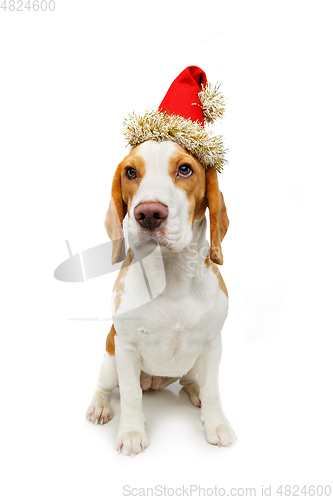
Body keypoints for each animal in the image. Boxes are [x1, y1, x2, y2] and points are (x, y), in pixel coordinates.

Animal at [85, 139, 236, 456]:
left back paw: (195, 392)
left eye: (185, 169)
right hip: (110, 359)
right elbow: (130, 394)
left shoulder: (212, 344)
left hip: (193, 363)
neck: (171, 275)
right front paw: (131, 432)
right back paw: (100, 406)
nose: (149, 213)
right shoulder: (126, 348)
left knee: (193, 381)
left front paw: (216, 424)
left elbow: (212, 389)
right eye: (131, 172)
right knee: (104, 385)